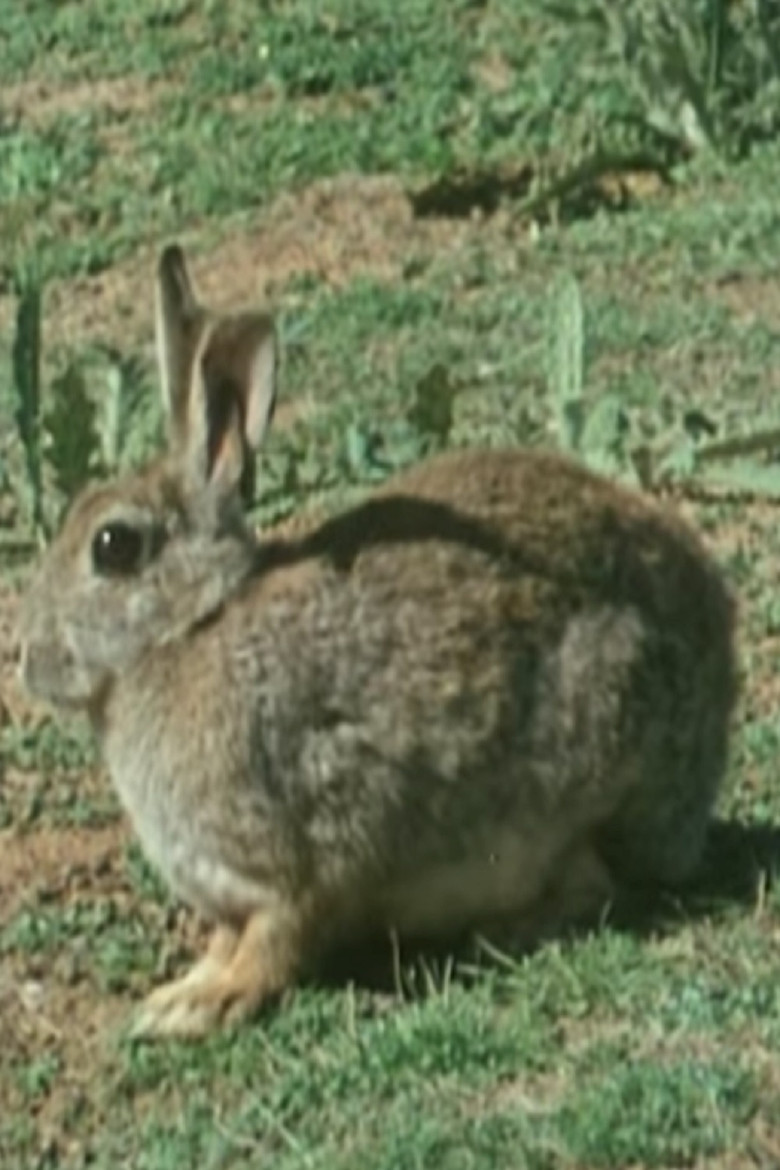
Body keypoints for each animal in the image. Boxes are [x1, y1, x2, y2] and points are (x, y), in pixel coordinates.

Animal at [17, 244, 737, 1039]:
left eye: (112, 546)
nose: (28, 663)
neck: (194, 628)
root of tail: (721, 647)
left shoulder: (295, 859)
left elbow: (276, 940)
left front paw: (196, 1006)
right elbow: (229, 939)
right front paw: (188, 986)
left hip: (592, 753)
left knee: (596, 884)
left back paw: (499, 931)